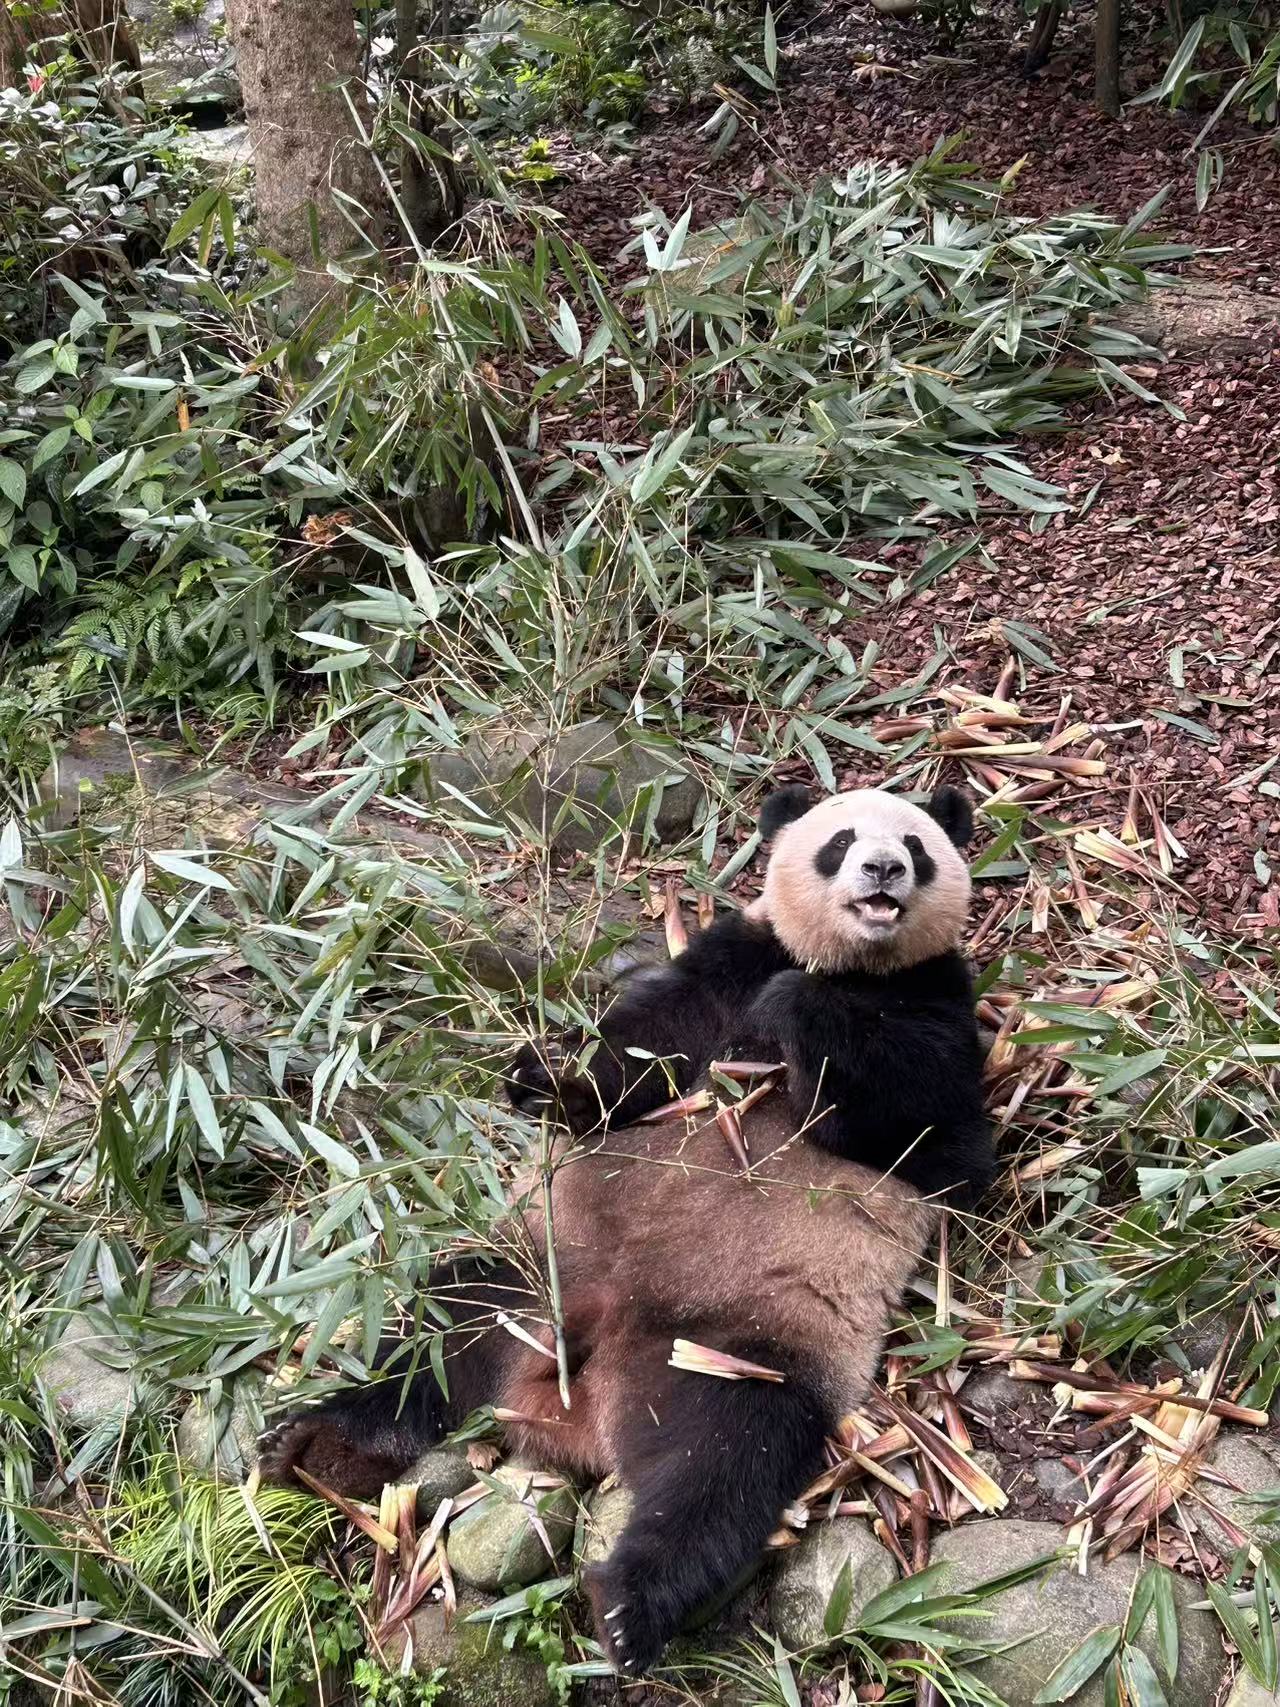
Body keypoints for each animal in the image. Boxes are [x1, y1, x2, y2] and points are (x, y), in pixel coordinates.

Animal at [259, 783, 993, 1675]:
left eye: (916, 845)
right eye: (841, 839)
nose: (883, 869)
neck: (847, 961)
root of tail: (581, 1375)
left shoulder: (940, 1001)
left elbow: (934, 1133)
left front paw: (802, 1011)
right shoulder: (732, 957)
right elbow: (645, 1047)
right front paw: (546, 1083)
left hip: (736, 1341)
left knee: (720, 1464)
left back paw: (630, 1602)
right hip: (537, 1262)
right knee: (435, 1335)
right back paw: (316, 1442)